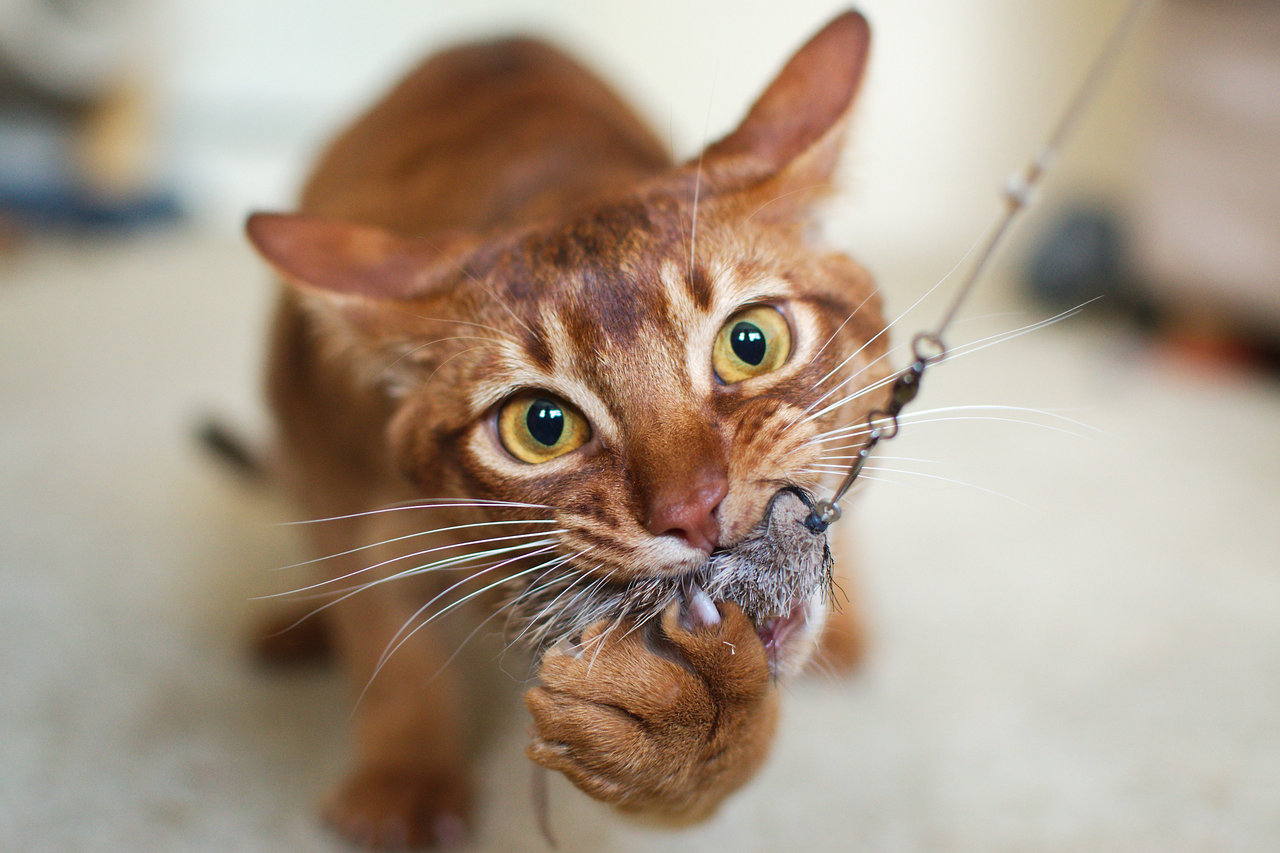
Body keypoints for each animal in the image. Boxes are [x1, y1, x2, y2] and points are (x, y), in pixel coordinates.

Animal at [249, 8, 890, 845]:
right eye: (542, 424)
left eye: (750, 343)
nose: (695, 511)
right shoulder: (343, 485)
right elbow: (388, 651)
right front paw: (405, 780)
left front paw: (694, 730)